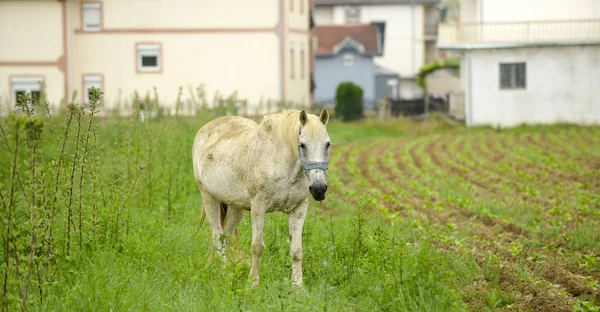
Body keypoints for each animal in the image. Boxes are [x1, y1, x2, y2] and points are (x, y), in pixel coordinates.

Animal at [193, 108, 330, 286]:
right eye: (302, 145)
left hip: (236, 207)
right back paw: (224, 274)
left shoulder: (298, 209)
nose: (319, 189)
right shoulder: (258, 208)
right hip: (209, 198)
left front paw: (298, 285)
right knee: (218, 237)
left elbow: (297, 250)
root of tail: (204, 130)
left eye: (327, 144)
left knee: (227, 236)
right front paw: (253, 283)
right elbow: (257, 247)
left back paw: (231, 270)